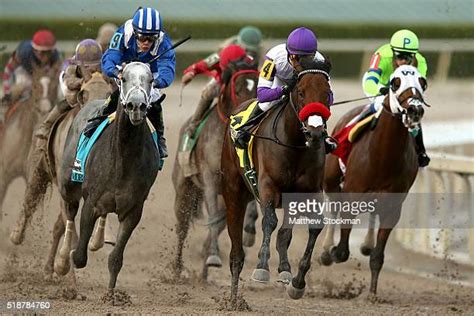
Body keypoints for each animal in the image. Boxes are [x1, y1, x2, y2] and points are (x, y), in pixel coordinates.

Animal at [52, 63, 158, 296]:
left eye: (150, 80)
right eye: (124, 78)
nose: (136, 106)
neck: (123, 159)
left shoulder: (133, 210)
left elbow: (116, 259)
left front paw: (111, 295)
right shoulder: (91, 202)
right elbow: (79, 256)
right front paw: (69, 261)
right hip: (68, 186)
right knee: (69, 213)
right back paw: (62, 260)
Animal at [222, 59, 334, 306]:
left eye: (327, 93)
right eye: (301, 92)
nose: (314, 134)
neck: (294, 144)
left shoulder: (309, 192)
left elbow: (306, 228)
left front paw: (296, 281)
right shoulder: (268, 186)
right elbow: (270, 221)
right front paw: (262, 268)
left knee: (284, 233)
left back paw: (283, 270)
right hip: (234, 190)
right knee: (236, 247)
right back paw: (233, 298)